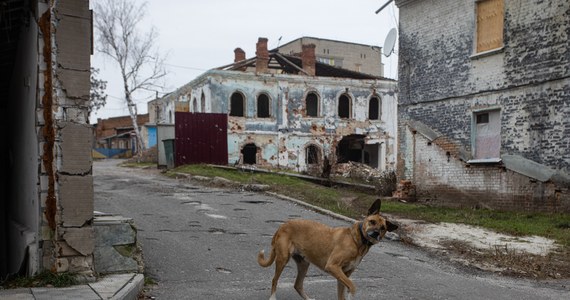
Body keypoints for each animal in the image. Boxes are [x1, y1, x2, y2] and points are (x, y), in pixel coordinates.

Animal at [256, 199, 394, 300]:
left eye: (383, 228)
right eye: (372, 222)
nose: (376, 233)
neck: (358, 242)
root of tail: (282, 226)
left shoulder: (344, 274)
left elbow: (342, 294)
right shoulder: (333, 266)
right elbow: (352, 286)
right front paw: (351, 294)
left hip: (303, 264)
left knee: (297, 285)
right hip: (283, 259)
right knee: (275, 280)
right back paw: (273, 297)